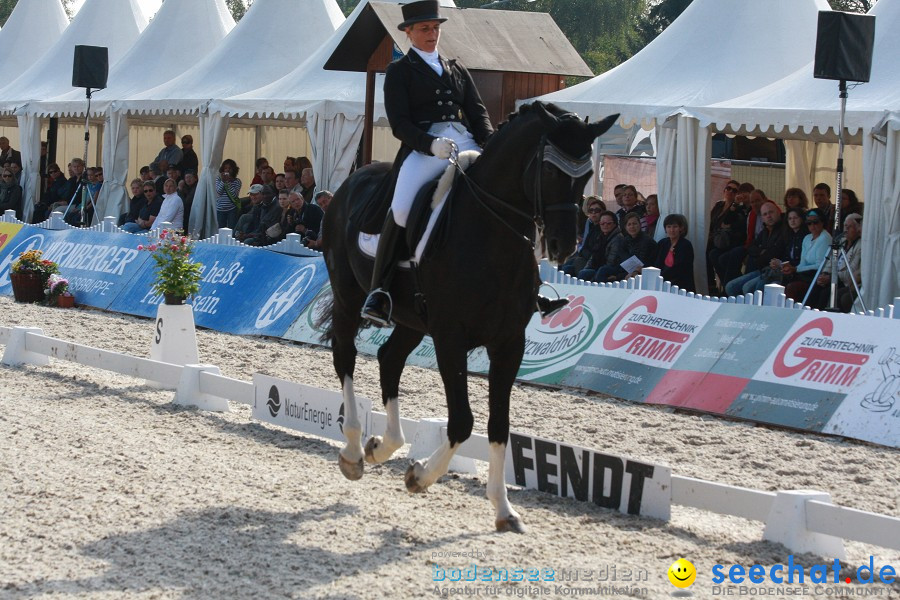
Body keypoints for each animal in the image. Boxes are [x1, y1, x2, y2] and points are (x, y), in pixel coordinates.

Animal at [320, 101, 616, 532]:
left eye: (588, 175)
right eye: (548, 170)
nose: (563, 245)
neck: (491, 235)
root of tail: (350, 182)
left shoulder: (509, 343)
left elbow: (499, 424)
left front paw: (504, 510)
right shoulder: (450, 337)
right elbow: (462, 420)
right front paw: (420, 476)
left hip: (411, 319)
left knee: (389, 359)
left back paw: (383, 446)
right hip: (349, 296)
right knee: (345, 355)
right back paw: (356, 451)